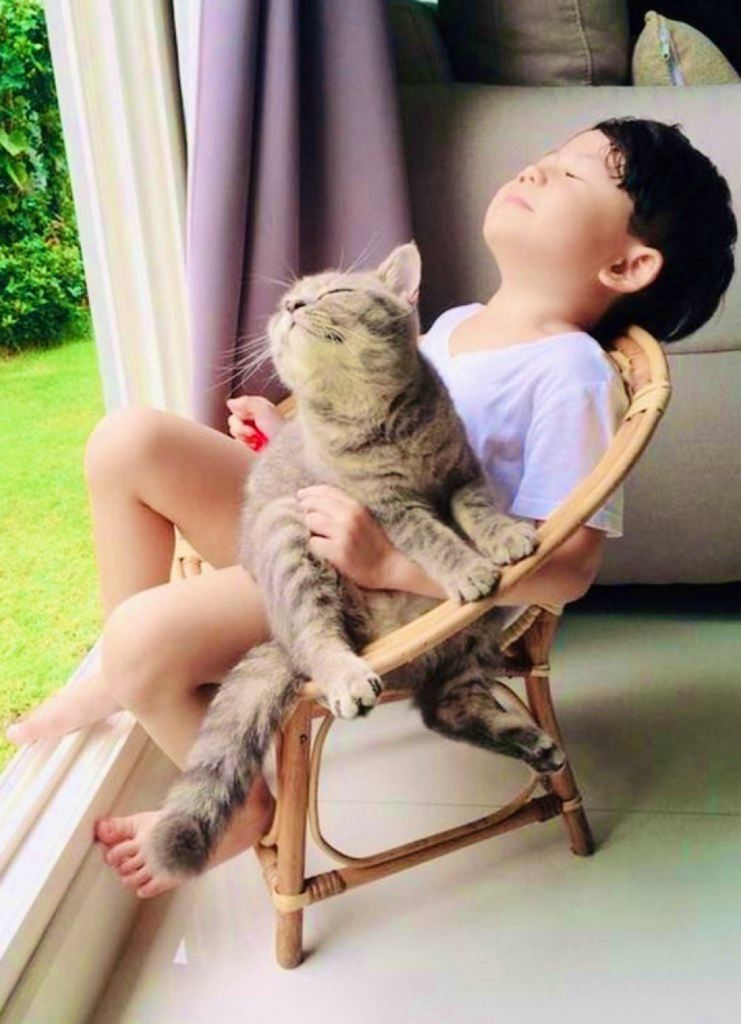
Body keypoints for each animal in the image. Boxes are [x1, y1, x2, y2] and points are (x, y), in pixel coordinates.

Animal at [153, 243, 564, 876]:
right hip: (291, 539)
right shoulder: (390, 510)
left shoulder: (461, 474)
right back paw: (348, 675)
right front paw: (468, 567)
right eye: (287, 301)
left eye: (334, 293)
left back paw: (532, 742)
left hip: (469, 643)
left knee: (445, 710)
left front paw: (502, 537)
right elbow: (435, 540)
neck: (378, 421)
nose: (293, 307)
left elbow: (478, 511)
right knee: (323, 644)